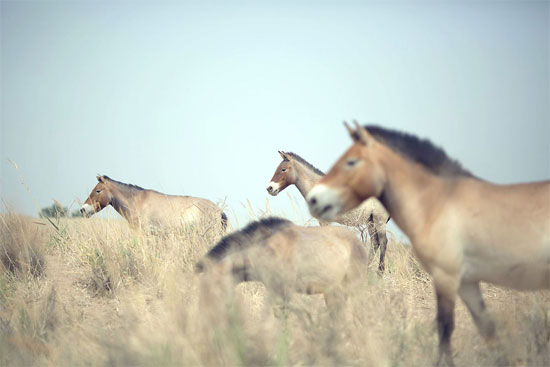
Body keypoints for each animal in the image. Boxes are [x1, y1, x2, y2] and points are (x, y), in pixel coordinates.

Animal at [196, 218, 368, 316]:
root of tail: (358, 242)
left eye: (212, 286)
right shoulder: (275, 292)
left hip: (354, 290)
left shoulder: (285, 293)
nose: (205, 313)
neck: (266, 250)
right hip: (332, 293)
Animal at [308, 122, 550, 366]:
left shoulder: (446, 274)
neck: (436, 202)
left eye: (351, 161)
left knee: (381, 242)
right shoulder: (466, 281)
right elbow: (486, 328)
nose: (314, 199)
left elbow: (445, 329)